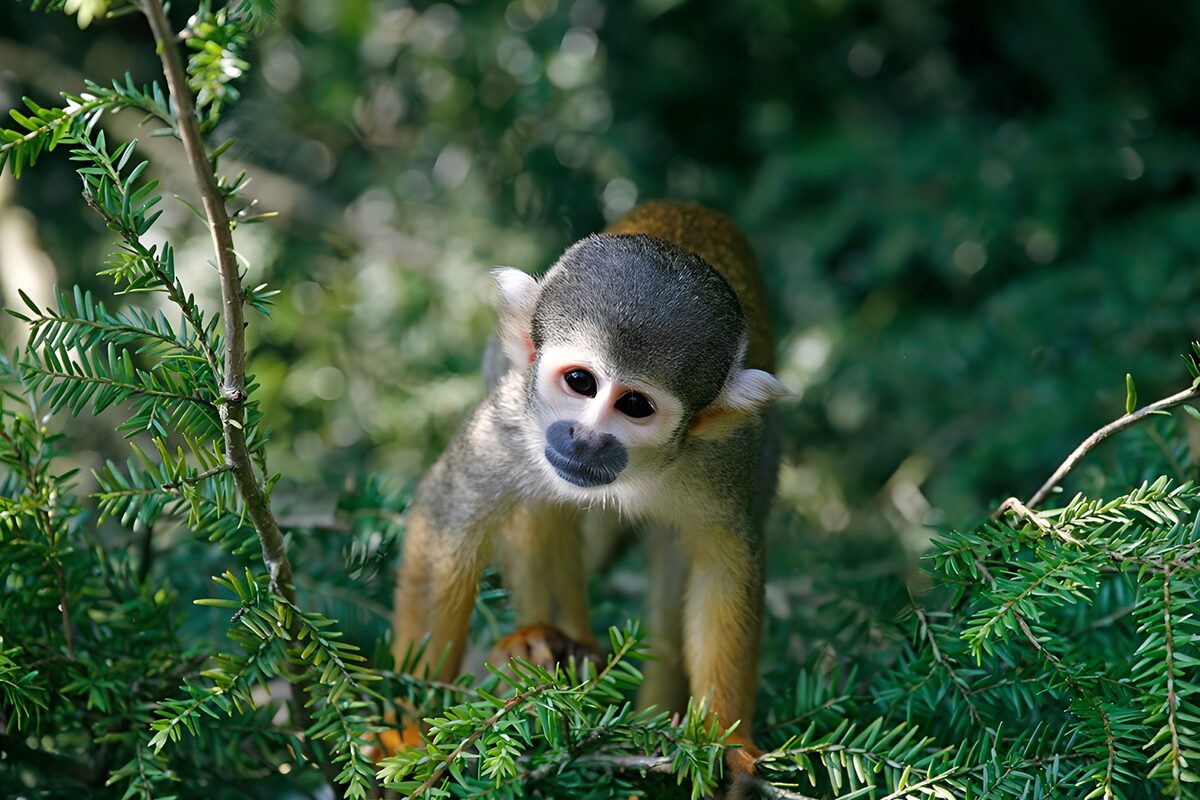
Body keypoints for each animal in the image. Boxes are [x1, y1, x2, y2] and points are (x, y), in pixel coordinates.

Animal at [390, 199, 787, 786]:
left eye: (635, 406)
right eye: (580, 382)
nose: (585, 437)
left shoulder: (726, 456)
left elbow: (725, 567)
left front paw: (728, 740)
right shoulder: (512, 418)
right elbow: (447, 519)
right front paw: (409, 728)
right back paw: (546, 643)